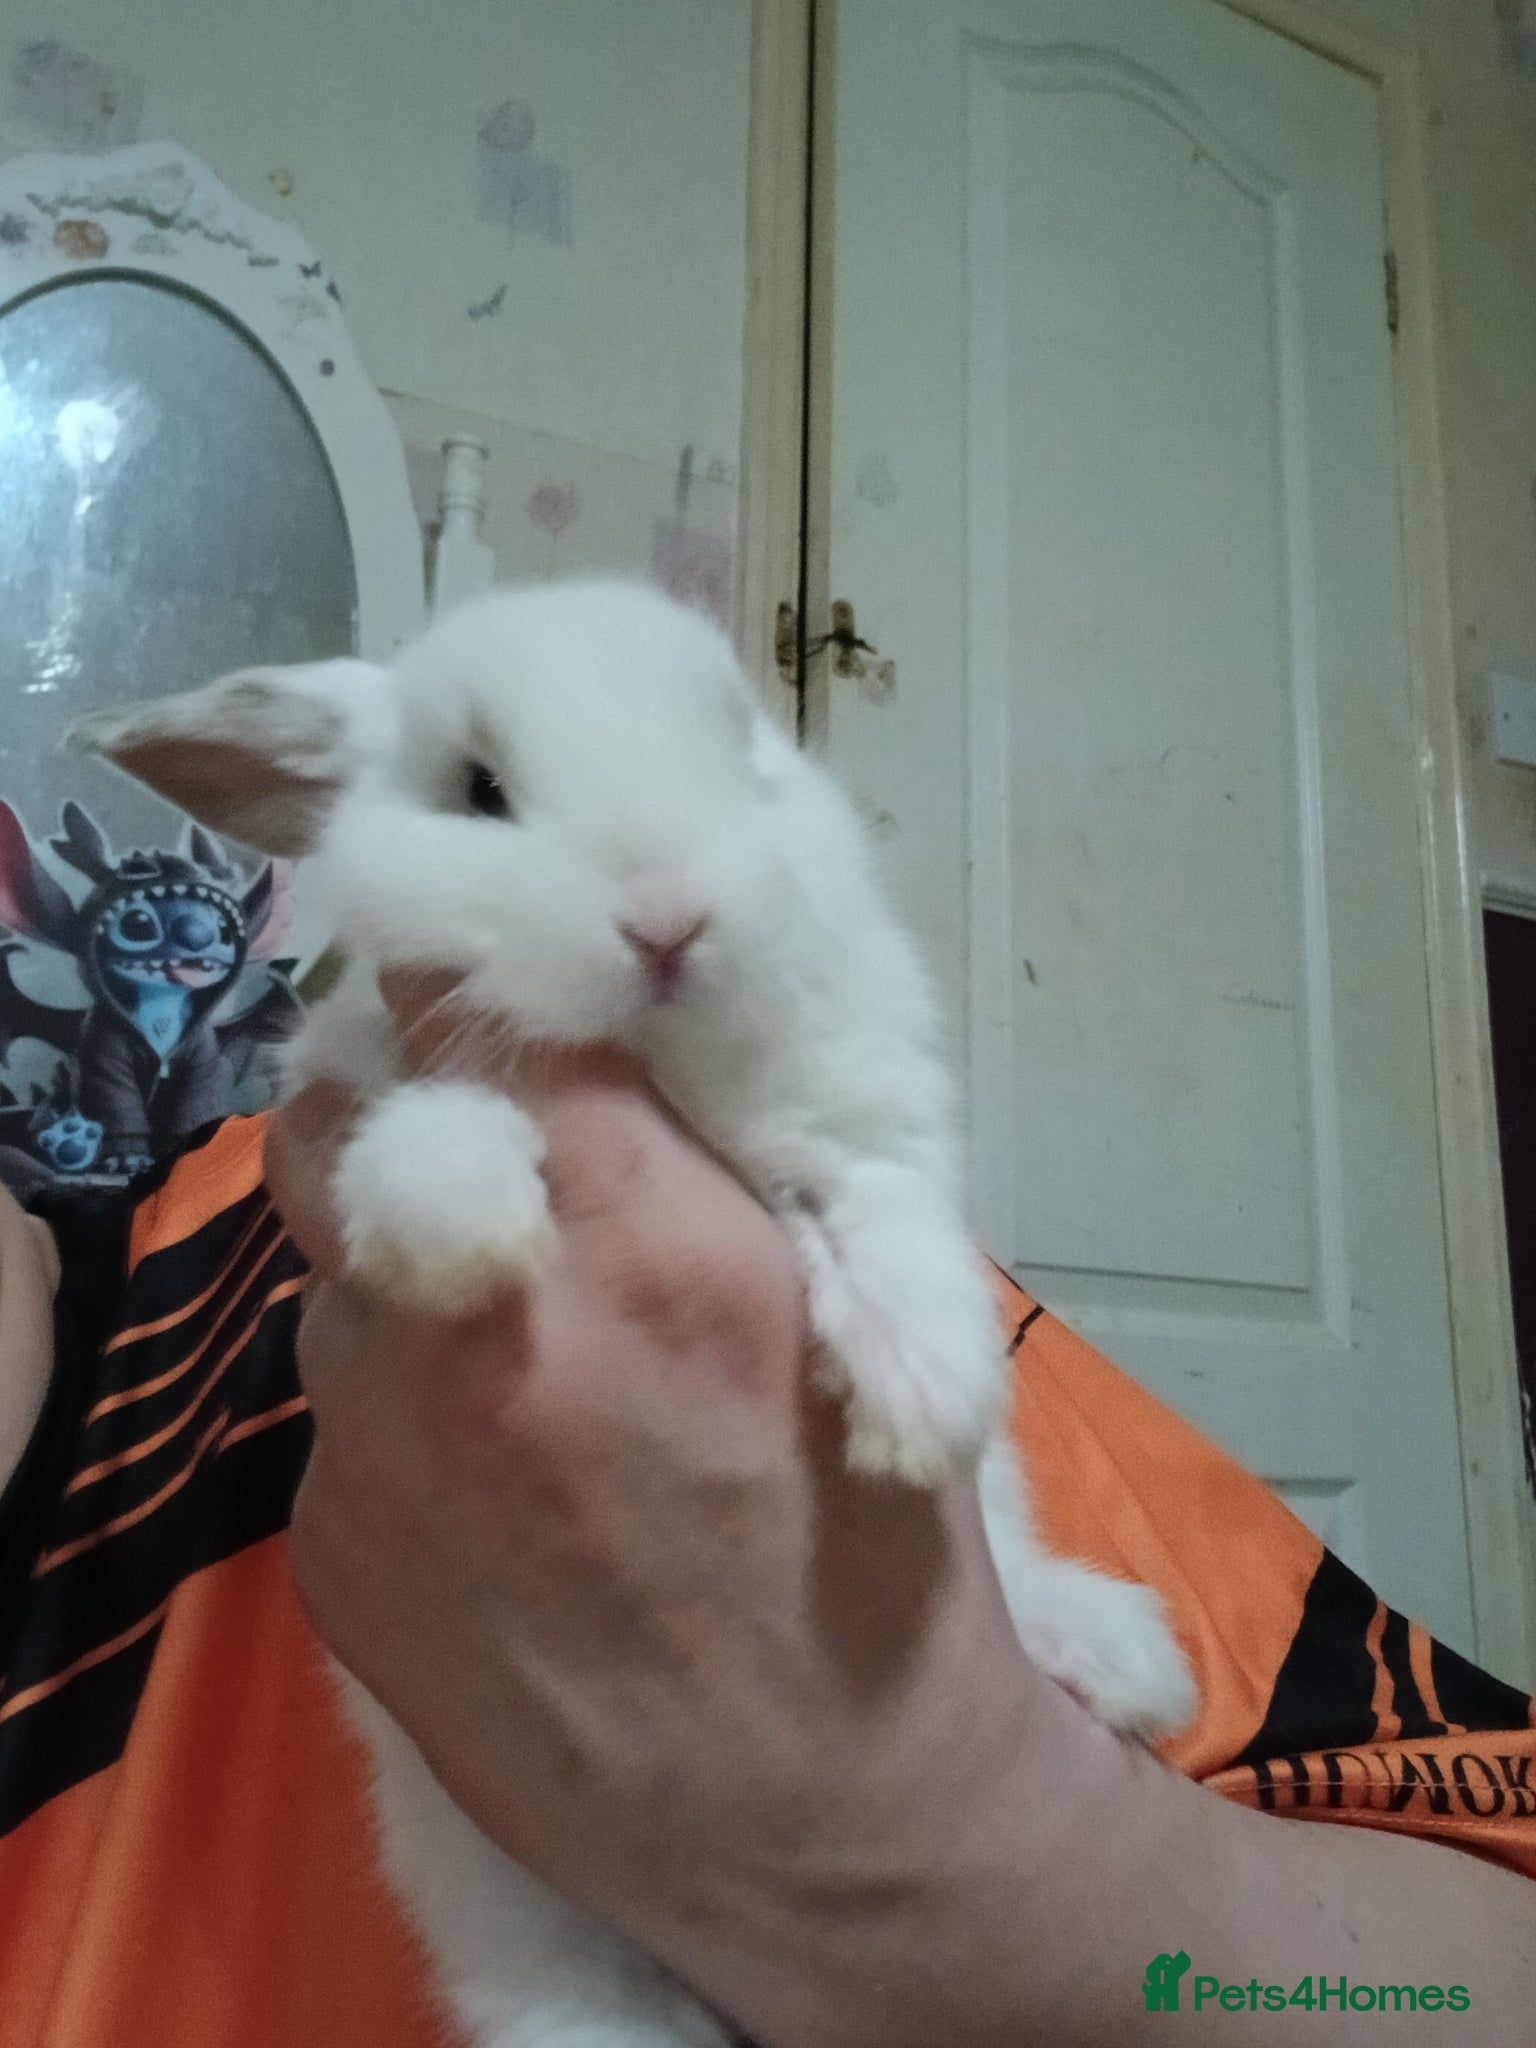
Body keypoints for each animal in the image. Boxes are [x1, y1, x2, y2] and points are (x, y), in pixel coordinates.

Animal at [72, 580, 1195, 2048]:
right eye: (480, 790)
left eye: (745, 748)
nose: (668, 921)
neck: (658, 1055)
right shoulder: (391, 1077)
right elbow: (435, 1132)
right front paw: (462, 1233)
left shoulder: (854, 1132)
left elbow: (883, 1226)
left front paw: (924, 1403)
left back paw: (1114, 1659)